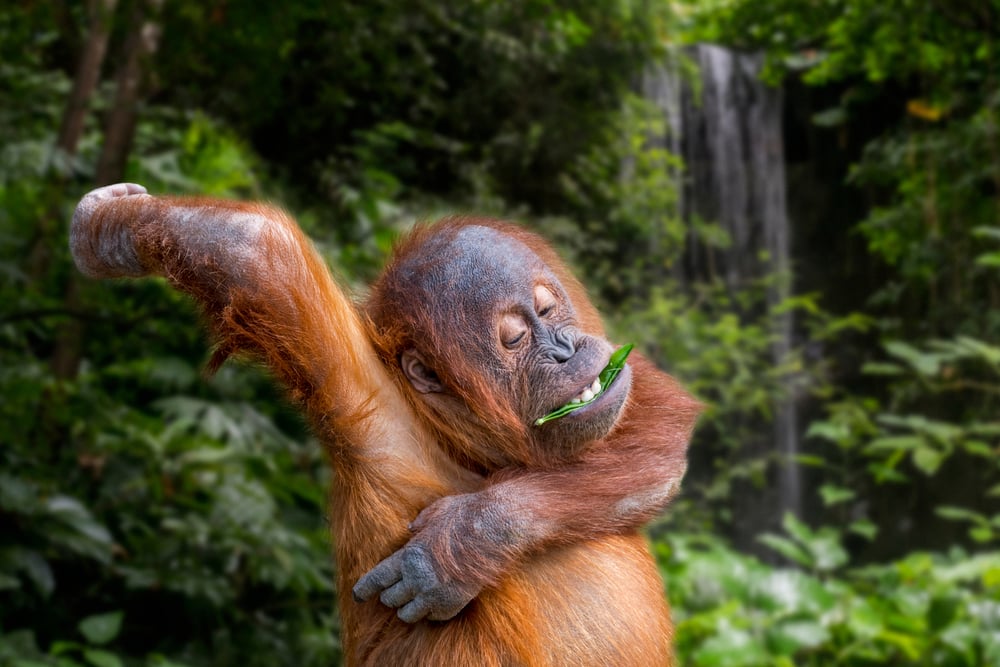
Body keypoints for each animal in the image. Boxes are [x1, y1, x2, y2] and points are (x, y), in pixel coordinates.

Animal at [70, 183, 700, 666]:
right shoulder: (377, 426)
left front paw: (461, 542)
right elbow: (261, 259)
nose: (568, 348)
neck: (475, 457)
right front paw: (106, 230)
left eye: (550, 307)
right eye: (515, 337)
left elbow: (655, 408)